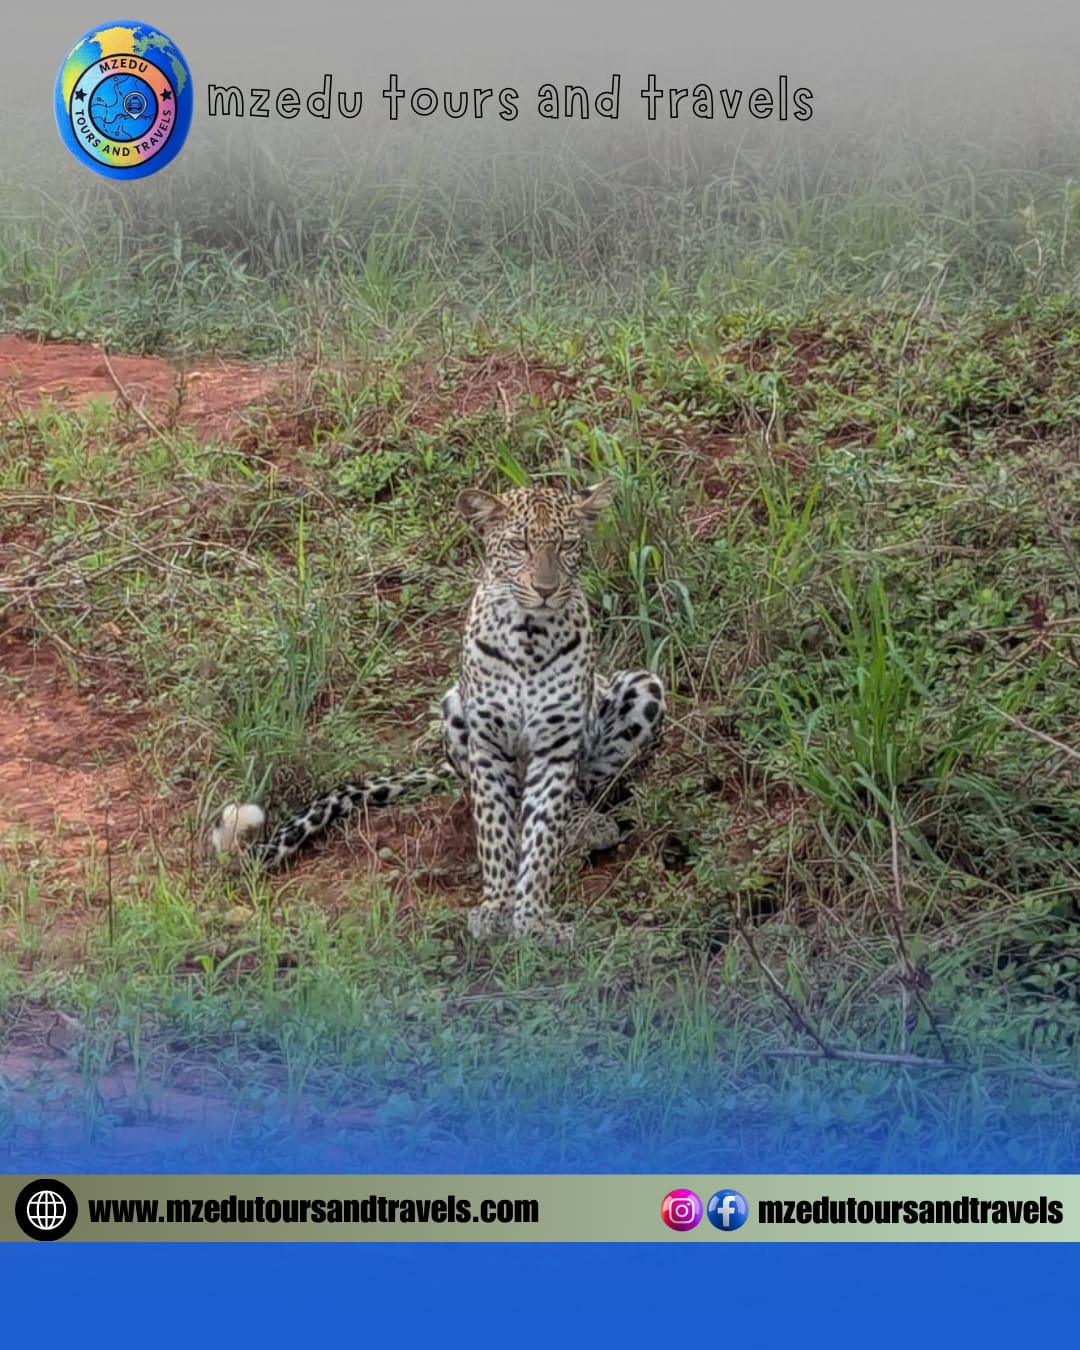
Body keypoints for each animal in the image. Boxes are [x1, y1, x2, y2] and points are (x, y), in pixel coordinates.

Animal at [211, 477, 665, 946]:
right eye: (519, 545)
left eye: (568, 546)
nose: (545, 589)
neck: (530, 636)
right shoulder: (487, 745)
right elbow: (494, 830)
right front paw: (496, 908)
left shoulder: (555, 745)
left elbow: (542, 834)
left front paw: (532, 918)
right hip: (453, 708)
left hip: (644, 688)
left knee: (576, 796)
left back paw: (587, 826)